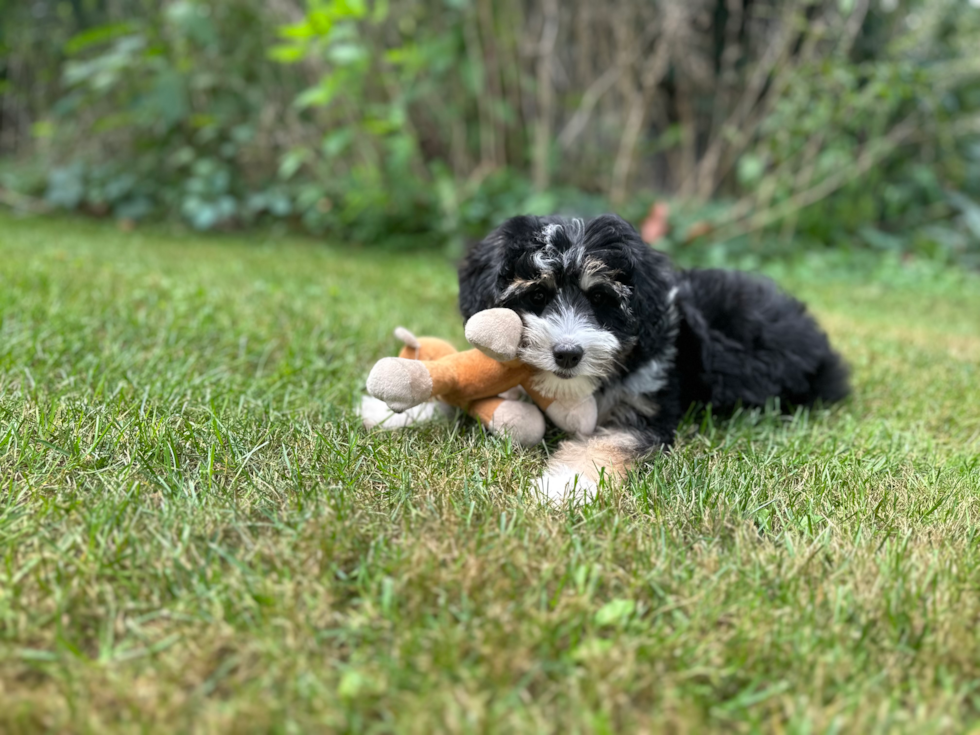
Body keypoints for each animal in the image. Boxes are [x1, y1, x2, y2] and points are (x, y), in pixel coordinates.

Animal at [460, 213, 848, 500]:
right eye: (537, 296)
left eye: (600, 298)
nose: (567, 354)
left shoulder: (646, 409)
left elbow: (611, 442)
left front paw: (565, 486)